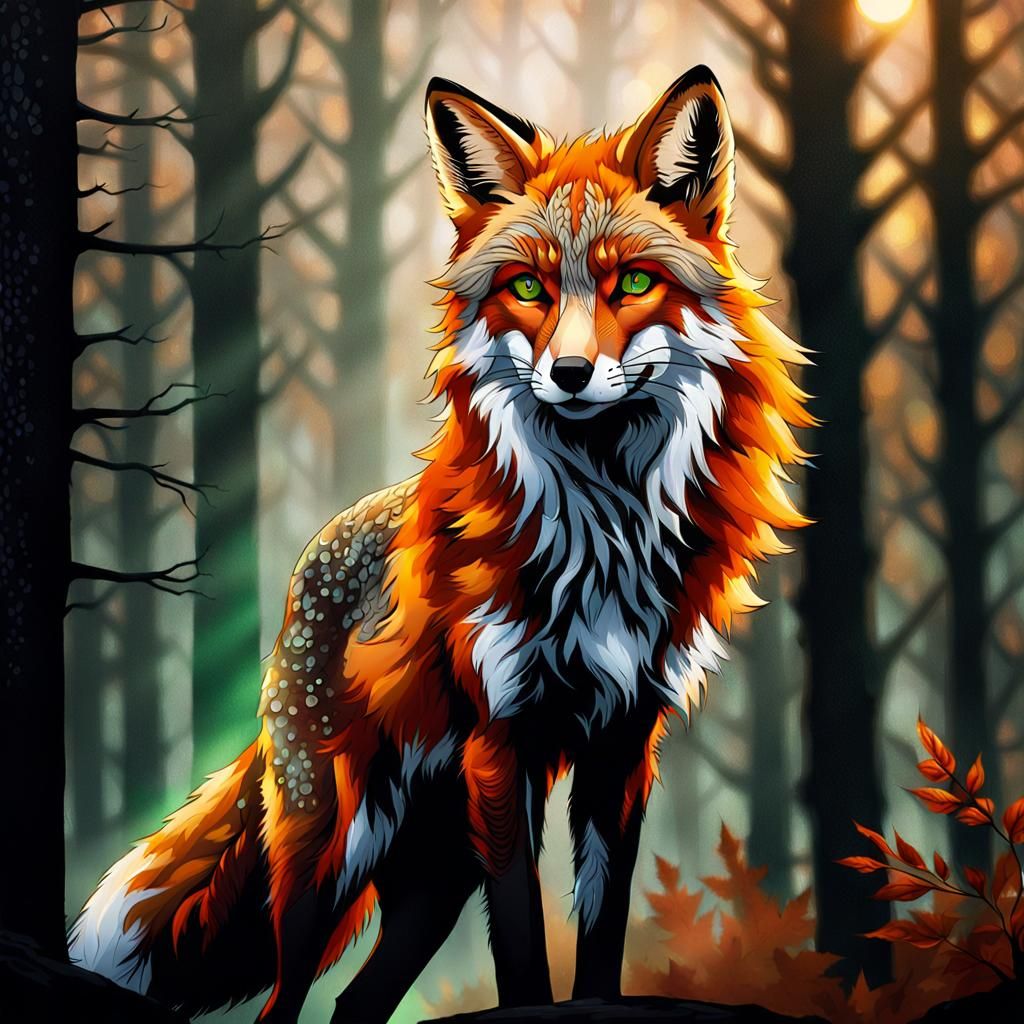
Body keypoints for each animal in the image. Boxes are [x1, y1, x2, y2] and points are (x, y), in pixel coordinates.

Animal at [69, 66, 811, 1023]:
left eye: (636, 282)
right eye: (528, 289)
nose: (570, 375)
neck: (604, 530)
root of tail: (306, 565)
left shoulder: (622, 741)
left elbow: (601, 932)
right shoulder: (502, 741)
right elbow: (523, 939)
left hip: (434, 874)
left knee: (353, 1006)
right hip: (333, 851)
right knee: (289, 999)